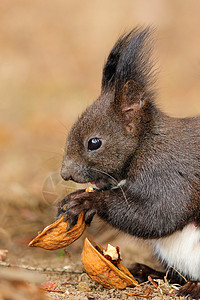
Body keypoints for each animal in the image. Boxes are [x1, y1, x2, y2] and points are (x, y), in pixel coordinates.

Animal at [56, 27, 200, 298]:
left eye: (94, 142)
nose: (65, 173)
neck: (144, 143)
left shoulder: (167, 171)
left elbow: (158, 214)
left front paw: (88, 201)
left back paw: (192, 287)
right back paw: (147, 271)